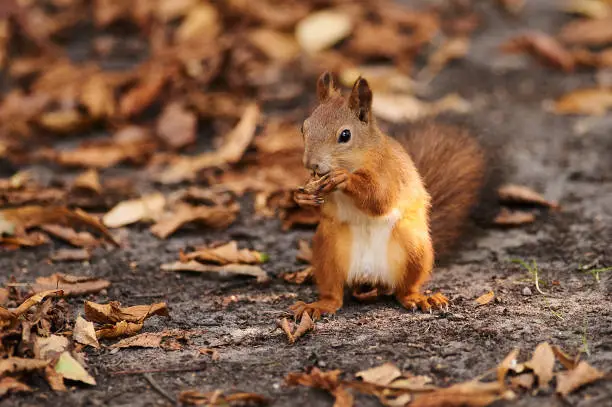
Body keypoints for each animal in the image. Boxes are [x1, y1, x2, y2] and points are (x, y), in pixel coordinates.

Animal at [290, 72, 486, 322]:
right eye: (303, 127)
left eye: (345, 135)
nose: (310, 163)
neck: (359, 159)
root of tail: (369, 277)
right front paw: (300, 197)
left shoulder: (389, 173)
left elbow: (381, 200)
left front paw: (344, 178)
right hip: (328, 250)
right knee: (333, 294)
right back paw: (318, 305)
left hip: (415, 250)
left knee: (404, 290)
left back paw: (419, 298)